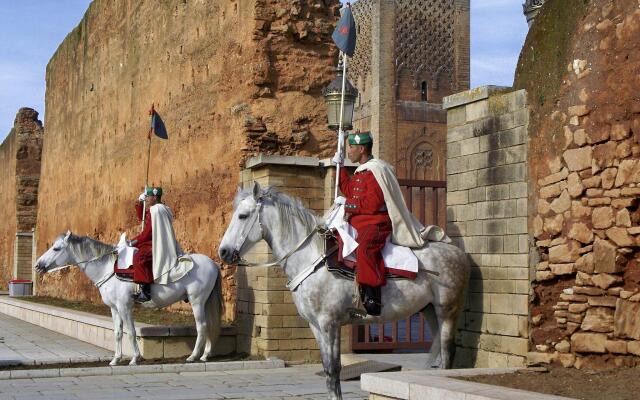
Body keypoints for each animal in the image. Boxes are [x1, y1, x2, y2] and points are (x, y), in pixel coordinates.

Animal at [36, 231, 225, 366]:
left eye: (56, 248)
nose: (38, 265)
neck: (108, 269)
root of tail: (213, 264)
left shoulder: (124, 306)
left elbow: (131, 332)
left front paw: (134, 358)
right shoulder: (114, 308)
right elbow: (118, 332)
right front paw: (115, 359)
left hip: (197, 301)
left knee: (202, 326)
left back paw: (193, 356)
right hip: (204, 302)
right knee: (209, 325)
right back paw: (205, 355)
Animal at [219, 184, 470, 400]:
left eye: (242, 216)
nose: (223, 252)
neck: (312, 259)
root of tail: (457, 253)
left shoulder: (330, 323)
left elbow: (333, 369)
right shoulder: (317, 326)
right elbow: (329, 369)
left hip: (447, 310)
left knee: (447, 354)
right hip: (430, 311)